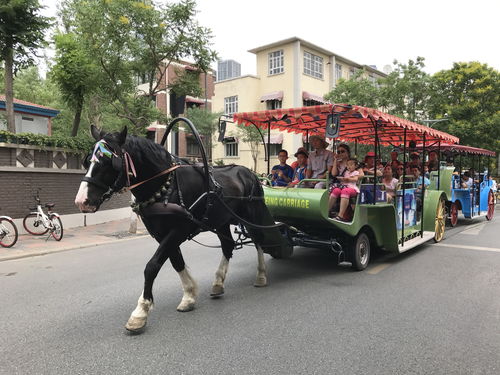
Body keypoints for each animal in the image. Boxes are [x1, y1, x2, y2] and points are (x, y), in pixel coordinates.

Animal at [73, 126, 286, 332]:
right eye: (86, 161)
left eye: (109, 162)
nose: (82, 201)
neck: (165, 187)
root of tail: (250, 173)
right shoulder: (161, 234)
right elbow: (176, 262)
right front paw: (189, 296)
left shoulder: (178, 230)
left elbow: (152, 266)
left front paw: (140, 312)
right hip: (222, 221)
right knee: (228, 246)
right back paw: (218, 283)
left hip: (250, 215)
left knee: (258, 240)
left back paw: (261, 275)